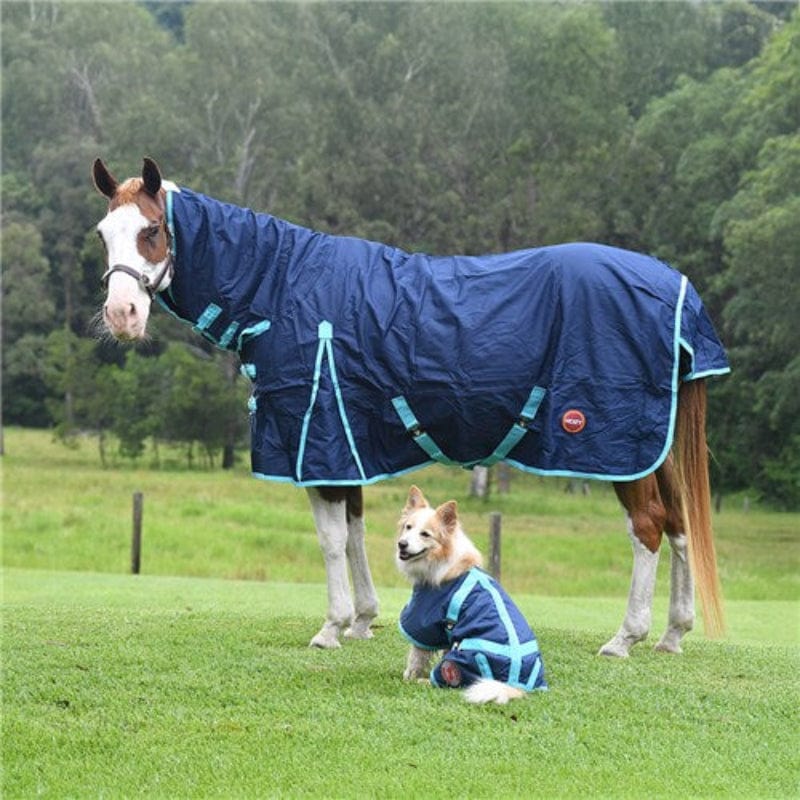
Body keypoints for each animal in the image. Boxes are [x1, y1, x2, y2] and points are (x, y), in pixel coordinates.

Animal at [92, 157, 729, 656]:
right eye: (103, 233)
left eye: (153, 228)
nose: (122, 315)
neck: (284, 286)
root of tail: (675, 286)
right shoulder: (343, 449)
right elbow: (354, 533)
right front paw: (363, 622)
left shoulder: (316, 443)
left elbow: (329, 541)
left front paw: (331, 627)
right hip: (655, 448)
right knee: (679, 525)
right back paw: (673, 633)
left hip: (620, 447)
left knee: (649, 527)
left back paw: (626, 637)